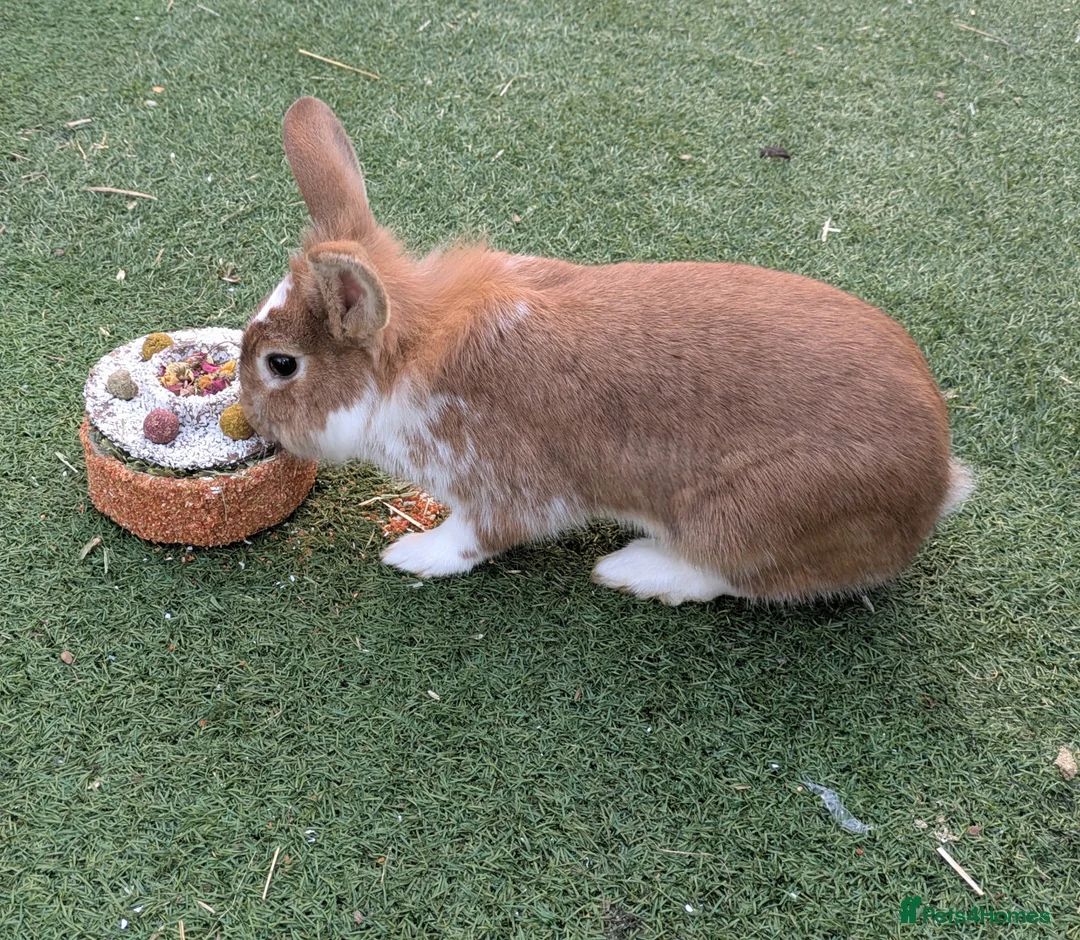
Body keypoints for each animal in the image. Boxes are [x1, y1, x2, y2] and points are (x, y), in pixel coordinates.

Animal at [239, 96, 973, 605]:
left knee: (739, 577)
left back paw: (634, 568)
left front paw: (412, 555)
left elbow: (476, 537)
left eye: (282, 365)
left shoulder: (505, 486)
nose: (248, 420)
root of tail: (935, 485)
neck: (403, 359)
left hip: (743, 518)